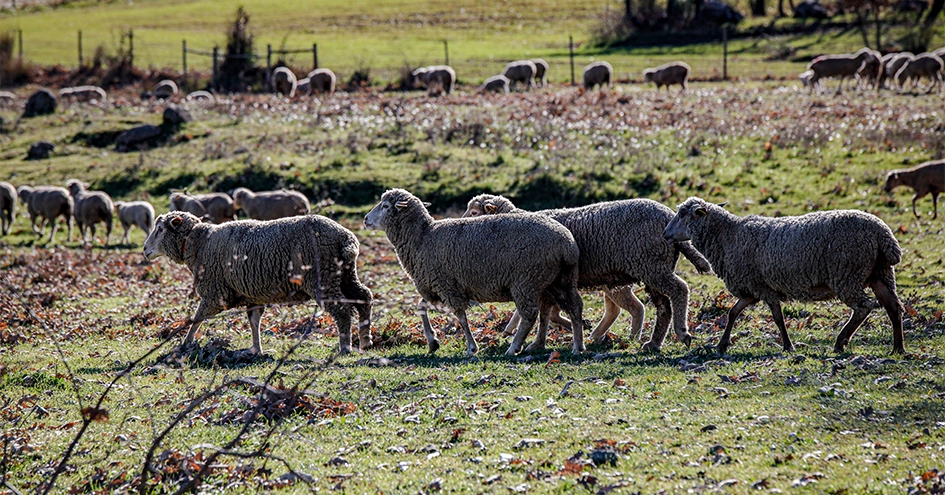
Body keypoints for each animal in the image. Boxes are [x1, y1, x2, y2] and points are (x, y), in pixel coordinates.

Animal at [143, 211, 373, 355]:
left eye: (160, 229)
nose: (145, 250)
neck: (197, 242)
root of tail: (346, 237)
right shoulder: (252, 296)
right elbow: (254, 322)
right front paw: (256, 349)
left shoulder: (214, 293)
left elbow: (196, 318)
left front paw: (185, 344)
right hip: (343, 275)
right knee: (364, 297)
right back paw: (365, 339)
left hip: (322, 277)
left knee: (342, 309)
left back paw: (345, 346)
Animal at [364, 189, 585, 356]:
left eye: (385, 206)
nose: (365, 220)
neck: (423, 237)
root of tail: (567, 244)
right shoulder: (437, 286)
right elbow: (421, 306)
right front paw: (432, 341)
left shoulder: (447, 286)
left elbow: (461, 317)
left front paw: (471, 347)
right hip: (561, 279)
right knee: (575, 307)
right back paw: (578, 346)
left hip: (526, 281)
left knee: (529, 315)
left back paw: (514, 347)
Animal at [463, 194, 712, 350]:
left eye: (475, 212)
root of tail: (669, 217)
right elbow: (546, 313)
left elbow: (543, 312)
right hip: (651, 267)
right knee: (661, 307)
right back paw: (651, 343)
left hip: (652, 265)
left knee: (678, 290)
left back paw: (680, 332)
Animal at [664, 197, 905, 355]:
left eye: (683, 214)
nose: (665, 234)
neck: (728, 236)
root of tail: (883, 235)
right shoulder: (751, 289)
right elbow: (733, 313)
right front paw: (722, 344)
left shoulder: (764, 288)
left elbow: (778, 318)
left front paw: (788, 345)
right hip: (880, 274)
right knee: (893, 307)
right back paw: (898, 348)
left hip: (847, 275)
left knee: (864, 307)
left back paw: (841, 342)